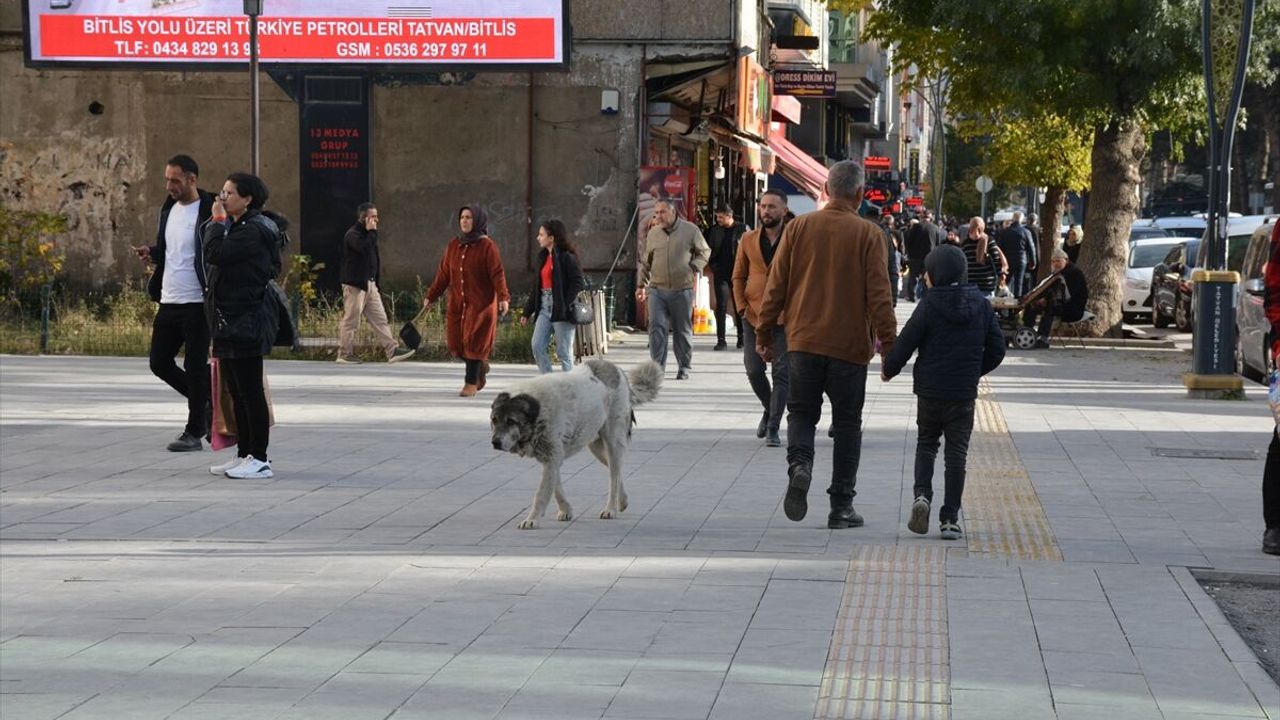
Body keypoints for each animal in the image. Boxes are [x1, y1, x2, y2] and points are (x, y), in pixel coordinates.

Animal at [490, 358, 662, 529]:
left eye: (511, 421)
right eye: (494, 419)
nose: (495, 442)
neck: (538, 411)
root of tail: (615, 368)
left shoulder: (552, 457)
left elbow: (541, 493)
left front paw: (532, 519)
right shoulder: (552, 457)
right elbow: (556, 488)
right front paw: (566, 510)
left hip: (613, 442)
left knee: (614, 477)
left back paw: (610, 509)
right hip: (596, 446)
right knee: (618, 471)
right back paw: (623, 501)